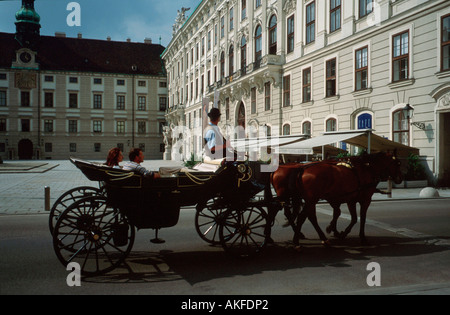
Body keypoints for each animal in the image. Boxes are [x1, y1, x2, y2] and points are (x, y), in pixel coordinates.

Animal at [270, 152, 404, 247]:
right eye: (398, 163)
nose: (400, 178)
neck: (366, 168)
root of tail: (302, 169)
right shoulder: (364, 200)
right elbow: (360, 218)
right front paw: (361, 237)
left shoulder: (347, 199)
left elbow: (346, 215)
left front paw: (335, 230)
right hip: (306, 199)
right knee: (300, 215)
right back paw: (297, 239)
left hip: (305, 199)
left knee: (304, 216)